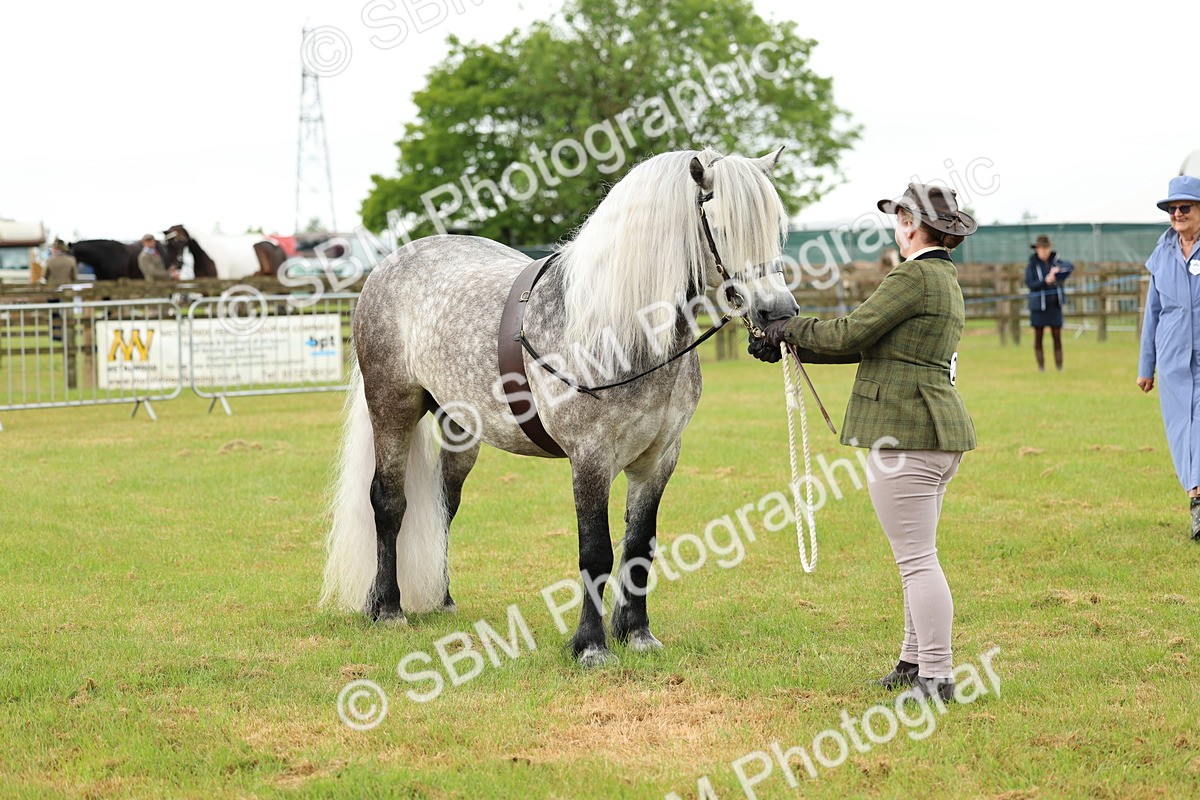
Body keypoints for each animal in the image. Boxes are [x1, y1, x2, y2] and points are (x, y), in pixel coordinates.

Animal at [320, 147, 799, 666]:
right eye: (724, 226)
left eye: (776, 225)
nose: (779, 313)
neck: (619, 328)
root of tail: (389, 266)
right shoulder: (590, 458)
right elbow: (597, 552)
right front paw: (591, 645)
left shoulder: (659, 459)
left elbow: (639, 546)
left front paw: (637, 633)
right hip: (392, 410)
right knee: (389, 502)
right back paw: (387, 608)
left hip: (460, 428)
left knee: (444, 504)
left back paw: (440, 600)